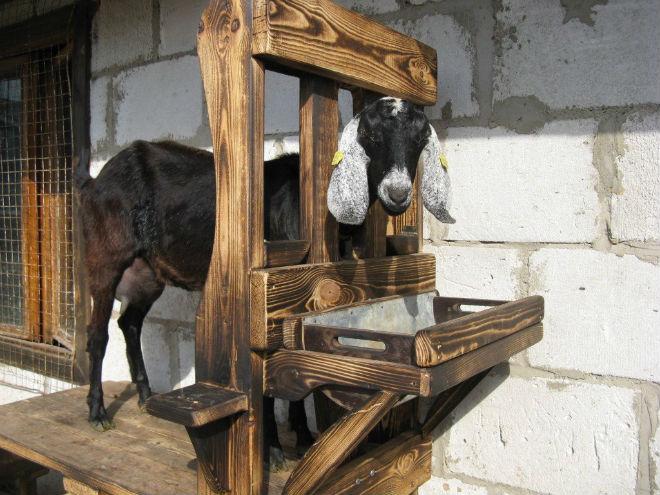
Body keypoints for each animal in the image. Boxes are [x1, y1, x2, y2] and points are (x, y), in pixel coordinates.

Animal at [74, 96, 453, 456]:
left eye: (419, 140)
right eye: (371, 137)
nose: (398, 193)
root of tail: (94, 182)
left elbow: (296, 372)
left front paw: (302, 437)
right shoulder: (266, 301)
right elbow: (268, 384)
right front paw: (272, 449)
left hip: (148, 274)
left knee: (129, 323)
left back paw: (144, 395)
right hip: (105, 257)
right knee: (97, 334)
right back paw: (97, 413)